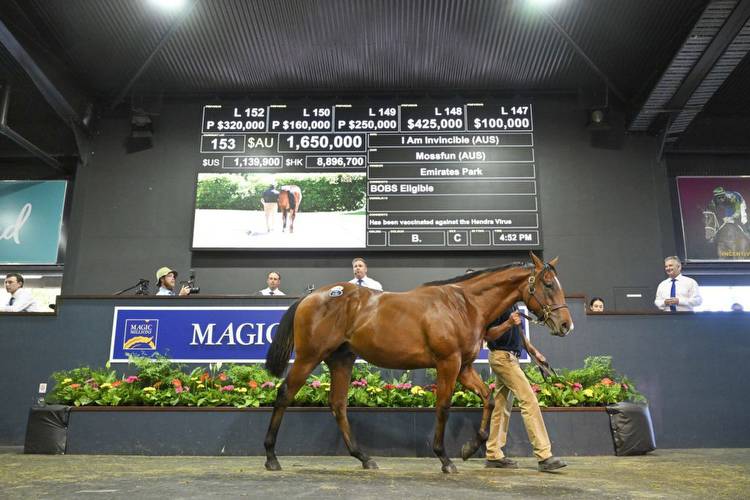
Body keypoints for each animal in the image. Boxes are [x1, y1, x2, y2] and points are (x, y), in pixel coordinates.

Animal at [266, 254, 576, 472]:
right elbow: (443, 408)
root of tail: (311, 296)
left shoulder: (464, 368)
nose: (565, 325)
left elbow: (488, 400)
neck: (463, 305)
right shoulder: (448, 364)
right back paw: (271, 457)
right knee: (284, 394)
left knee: (338, 405)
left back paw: (364, 458)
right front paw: (445, 458)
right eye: (548, 284)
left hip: (341, 359)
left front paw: (468, 449)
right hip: (308, 357)